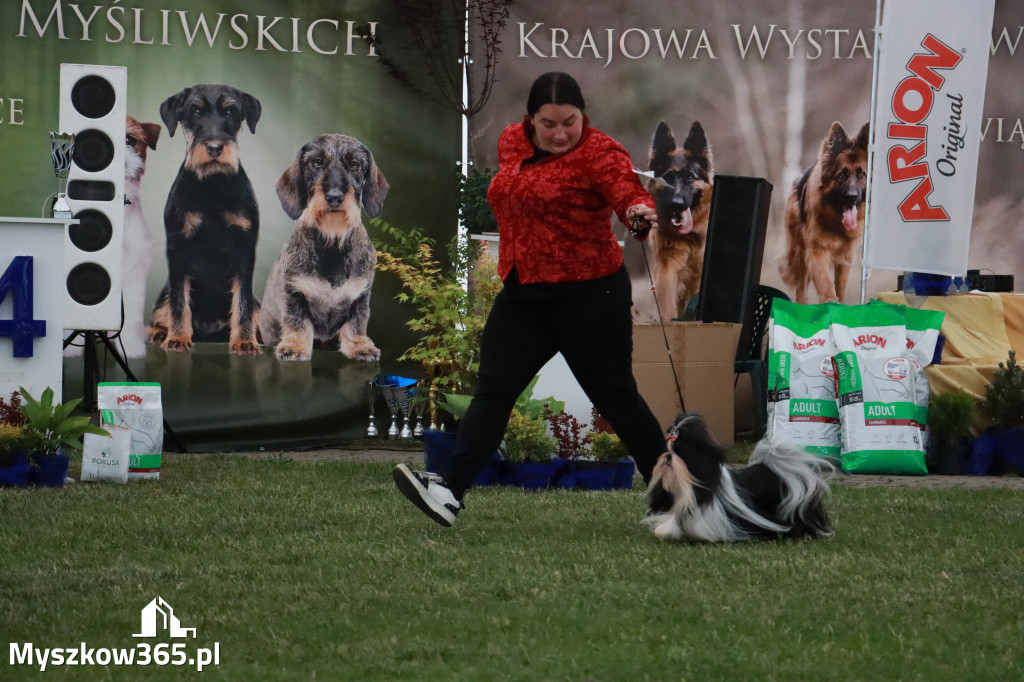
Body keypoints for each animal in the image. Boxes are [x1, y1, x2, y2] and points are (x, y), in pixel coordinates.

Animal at [147, 82, 262, 352]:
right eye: (195, 111)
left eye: (230, 112)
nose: (215, 148)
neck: (212, 185)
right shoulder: (178, 250)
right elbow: (179, 302)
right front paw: (178, 338)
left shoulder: (245, 251)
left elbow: (242, 304)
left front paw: (244, 341)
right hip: (163, 294)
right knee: (162, 312)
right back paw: (160, 333)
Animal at [260, 132, 387, 360]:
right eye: (316, 162)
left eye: (355, 164)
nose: (334, 197)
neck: (332, 242)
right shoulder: (295, 292)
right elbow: (297, 321)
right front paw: (294, 346)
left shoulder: (360, 296)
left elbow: (356, 323)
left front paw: (360, 346)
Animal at [638, 120, 712, 321]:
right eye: (668, 177)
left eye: (690, 177)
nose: (677, 203)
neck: (690, 237)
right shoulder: (667, 268)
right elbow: (667, 305)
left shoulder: (698, 273)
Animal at [778, 120, 868, 303]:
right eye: (841, 175)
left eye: (861, 174)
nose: (852, 197)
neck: (837, 222)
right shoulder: (816, 252)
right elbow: (826, 285)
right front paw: (829, 301)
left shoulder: (846, 258)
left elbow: (840, 288)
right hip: (800, 253)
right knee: (801, 289)